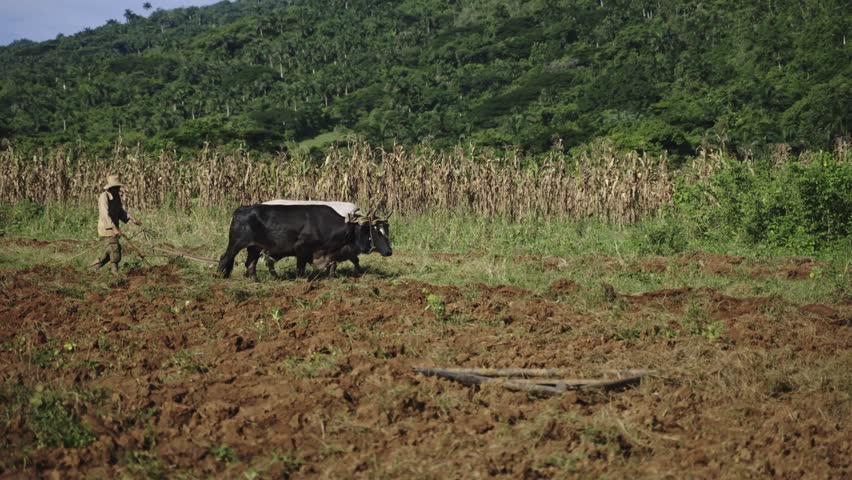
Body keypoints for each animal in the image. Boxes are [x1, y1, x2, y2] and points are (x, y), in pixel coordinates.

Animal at [217, 204, 391, 282]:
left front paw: (332, 277)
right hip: (236, 242)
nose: (389, 251)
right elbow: (300, 268)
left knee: (250, 264)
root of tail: (241, 209)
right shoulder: (301, 248)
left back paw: (255, 281)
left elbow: (333, 265)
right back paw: (218, 277)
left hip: (255, 247)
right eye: (375, 231)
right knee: (224, 258)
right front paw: (302, 282)